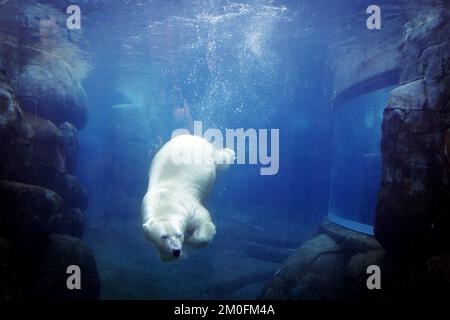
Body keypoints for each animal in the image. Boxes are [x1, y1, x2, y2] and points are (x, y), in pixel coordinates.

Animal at [142, 134, 236, 262]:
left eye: (179, 235)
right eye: (163, 236)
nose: (176, 251)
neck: (164, 202)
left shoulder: (189, 208)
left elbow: (204, 221)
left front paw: (189, 239)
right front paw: (168, 255)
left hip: (208, 152)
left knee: (220, 159)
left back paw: (231, 153)